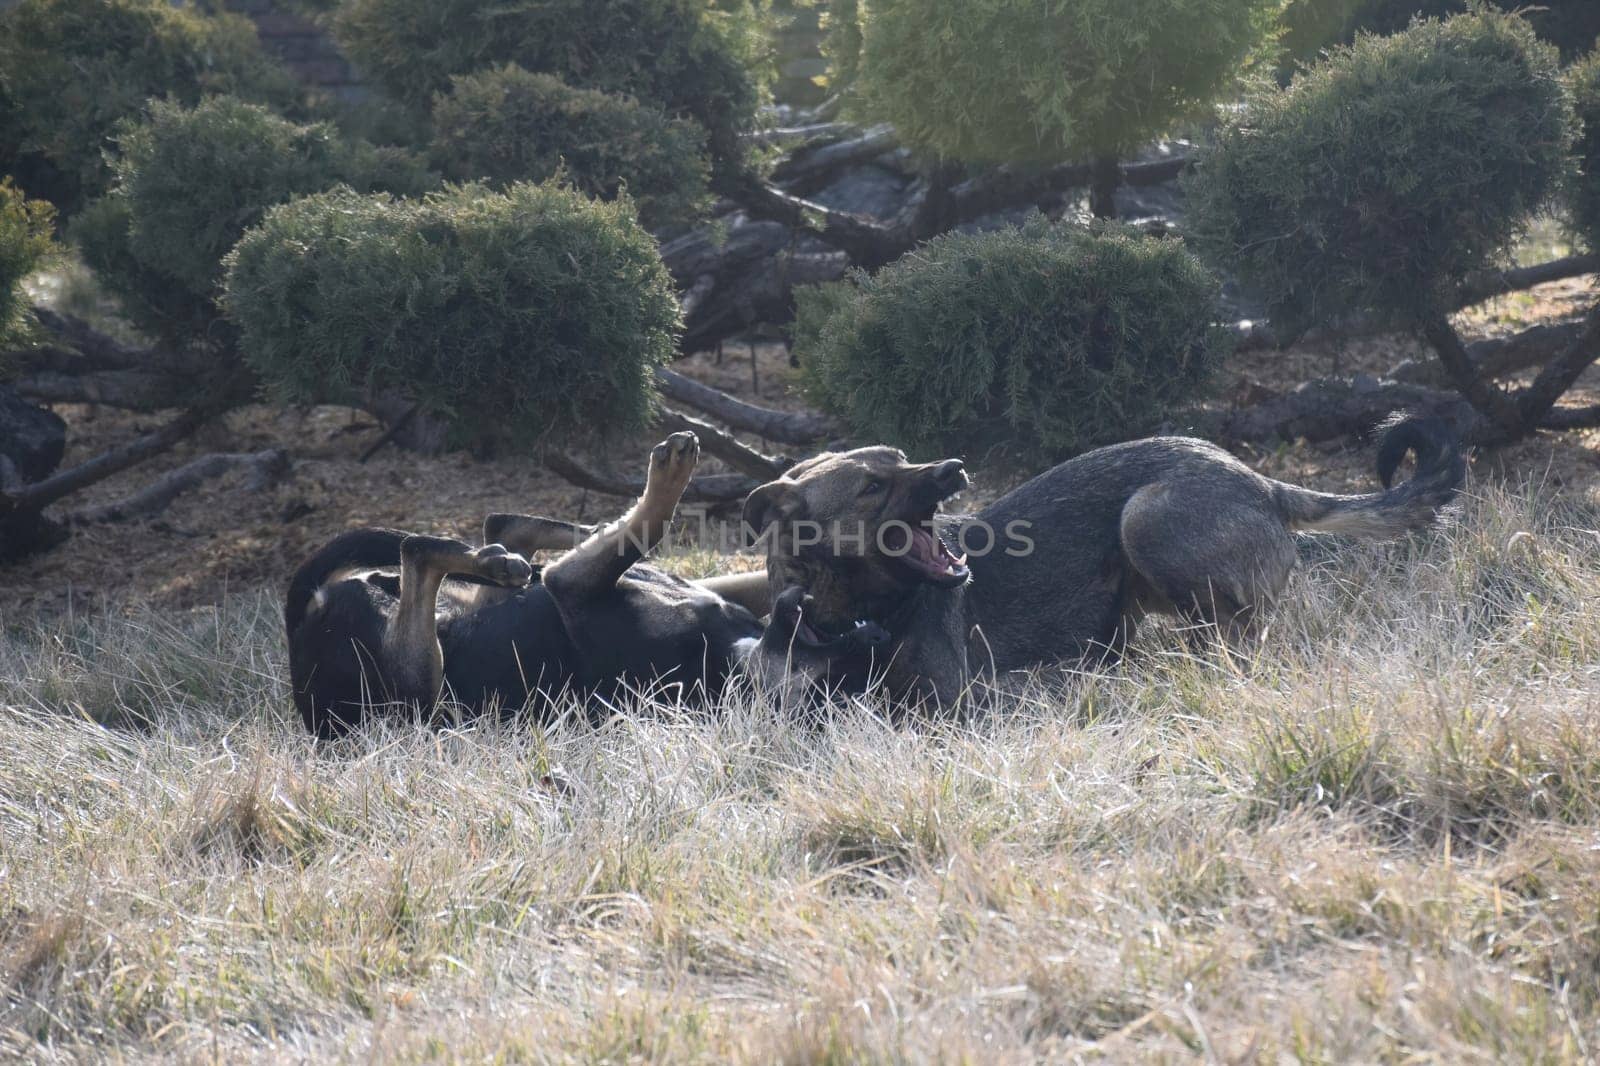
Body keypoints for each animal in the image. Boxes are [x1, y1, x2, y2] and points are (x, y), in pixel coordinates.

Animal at [288, 432, 889, 739]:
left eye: (829, 675)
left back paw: (483, 562)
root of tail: (303, 618)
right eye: (840, 651)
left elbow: (642, 529)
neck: (730, 661)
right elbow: (640, 533)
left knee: (422, 556)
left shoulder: (573, 587)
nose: (870, 630)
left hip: (415, 692)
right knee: (506, 528)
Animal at [742, 416, 1465, 704]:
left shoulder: (954, 703)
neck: (859, 614)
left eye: (901, 458)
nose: (954, 467)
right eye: (871, 484)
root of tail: (1259, 482)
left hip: (1145, 517)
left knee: (1242, 633)